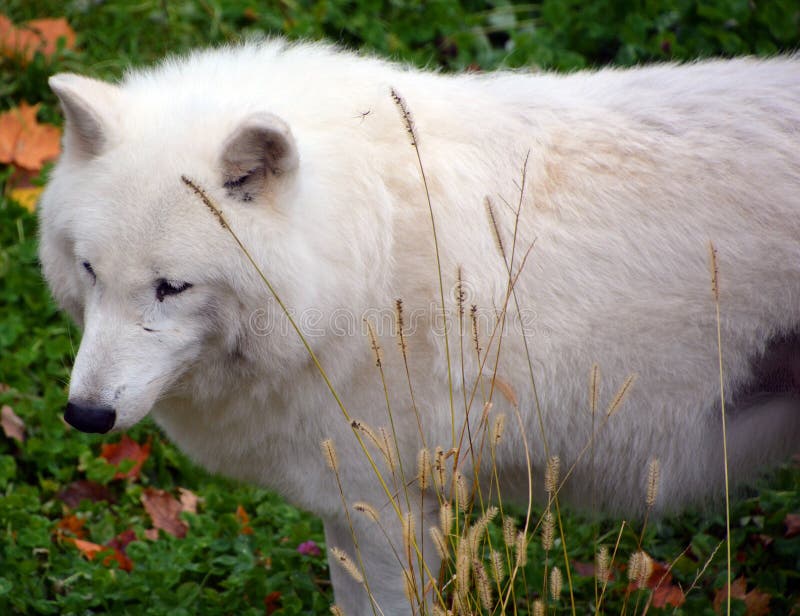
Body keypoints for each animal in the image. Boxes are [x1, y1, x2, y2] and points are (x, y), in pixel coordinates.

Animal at [39, 41, 800, 612]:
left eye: (172, 288)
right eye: (90, 270)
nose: (84, 415)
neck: (361, 259)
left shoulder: (389, 510)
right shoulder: (349, 507)